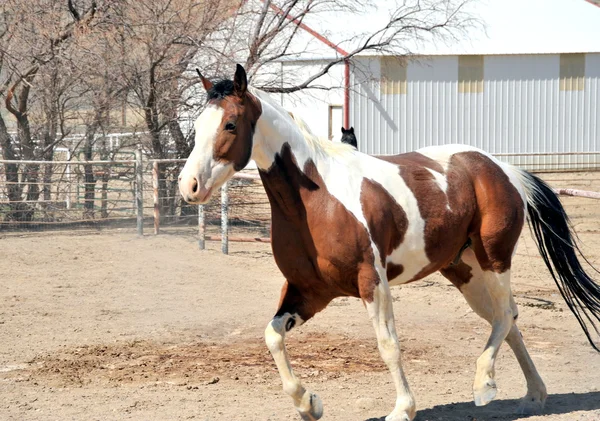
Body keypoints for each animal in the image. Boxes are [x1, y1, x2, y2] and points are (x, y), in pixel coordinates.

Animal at [179, 63, 600, 420]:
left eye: (230, 124)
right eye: (198, 124)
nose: (189, 185)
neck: (318, 201)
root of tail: (504, 170)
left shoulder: (372, 282)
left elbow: (388, 344)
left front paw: (403, 408)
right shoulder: (308, 290)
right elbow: (272, 336)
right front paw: (308, 402)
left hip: (494, 260)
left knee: (504, 316)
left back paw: (485, 386)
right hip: (464, 271)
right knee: (507, 318)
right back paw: (533, 394)